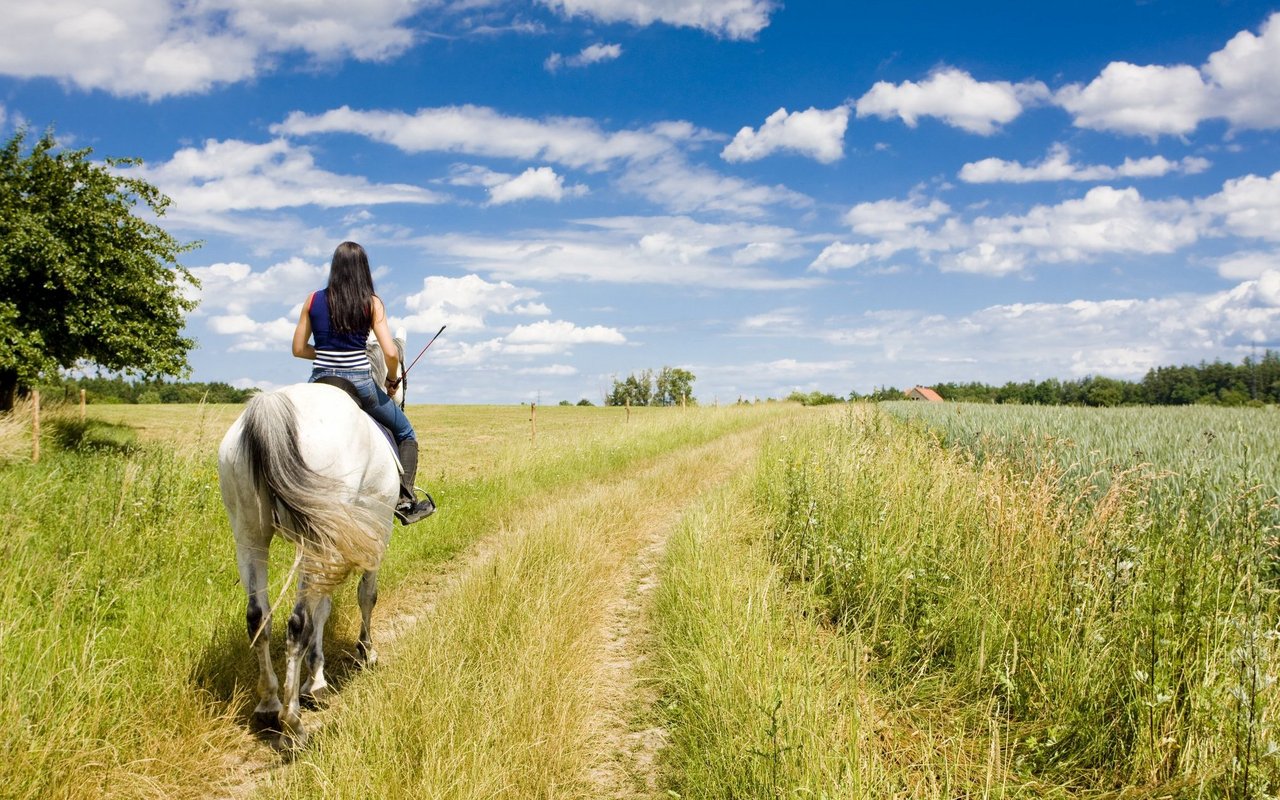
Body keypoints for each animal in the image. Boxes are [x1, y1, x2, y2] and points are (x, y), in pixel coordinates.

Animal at [215, 330, 404, 742]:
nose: (395, 393)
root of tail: (271, 408)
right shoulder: (375, 534)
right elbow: (366, 595)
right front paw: (365, 653)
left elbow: (324, 606)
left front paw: (314, 680)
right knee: (296, 623)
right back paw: (293, 720)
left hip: (250, 534)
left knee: (259, 617)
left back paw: (269, 704)